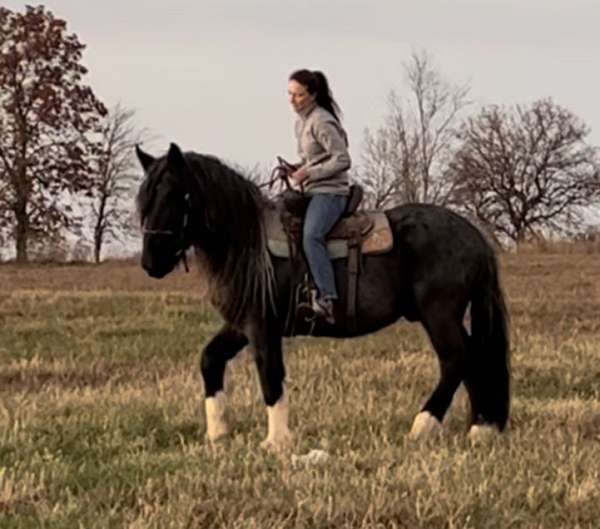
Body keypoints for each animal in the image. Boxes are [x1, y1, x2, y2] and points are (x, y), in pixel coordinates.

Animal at [136, 142, 510, 448]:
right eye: (145, 199)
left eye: (175, 195)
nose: (150, 262)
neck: (248, 243)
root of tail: (474, 236)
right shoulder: (241, 325)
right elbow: (210, 359)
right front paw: (217, 432)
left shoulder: (262, 326)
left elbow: (270, 376)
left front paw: (277, 441)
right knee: (472, 357)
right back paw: (481, 428)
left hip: (439, 314)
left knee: (455, 360)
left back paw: (422, 427)